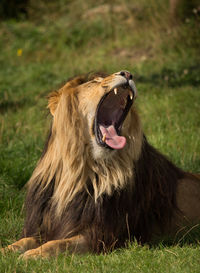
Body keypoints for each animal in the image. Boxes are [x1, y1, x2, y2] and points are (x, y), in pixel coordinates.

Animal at [1, 70, 200, 258]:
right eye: (94, 83)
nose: (128, 74)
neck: (77, 173)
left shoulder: (102, 236)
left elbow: (59, 244)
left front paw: (35, 254)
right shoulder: (46, 227)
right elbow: (24, 241)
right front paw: (7, 251)